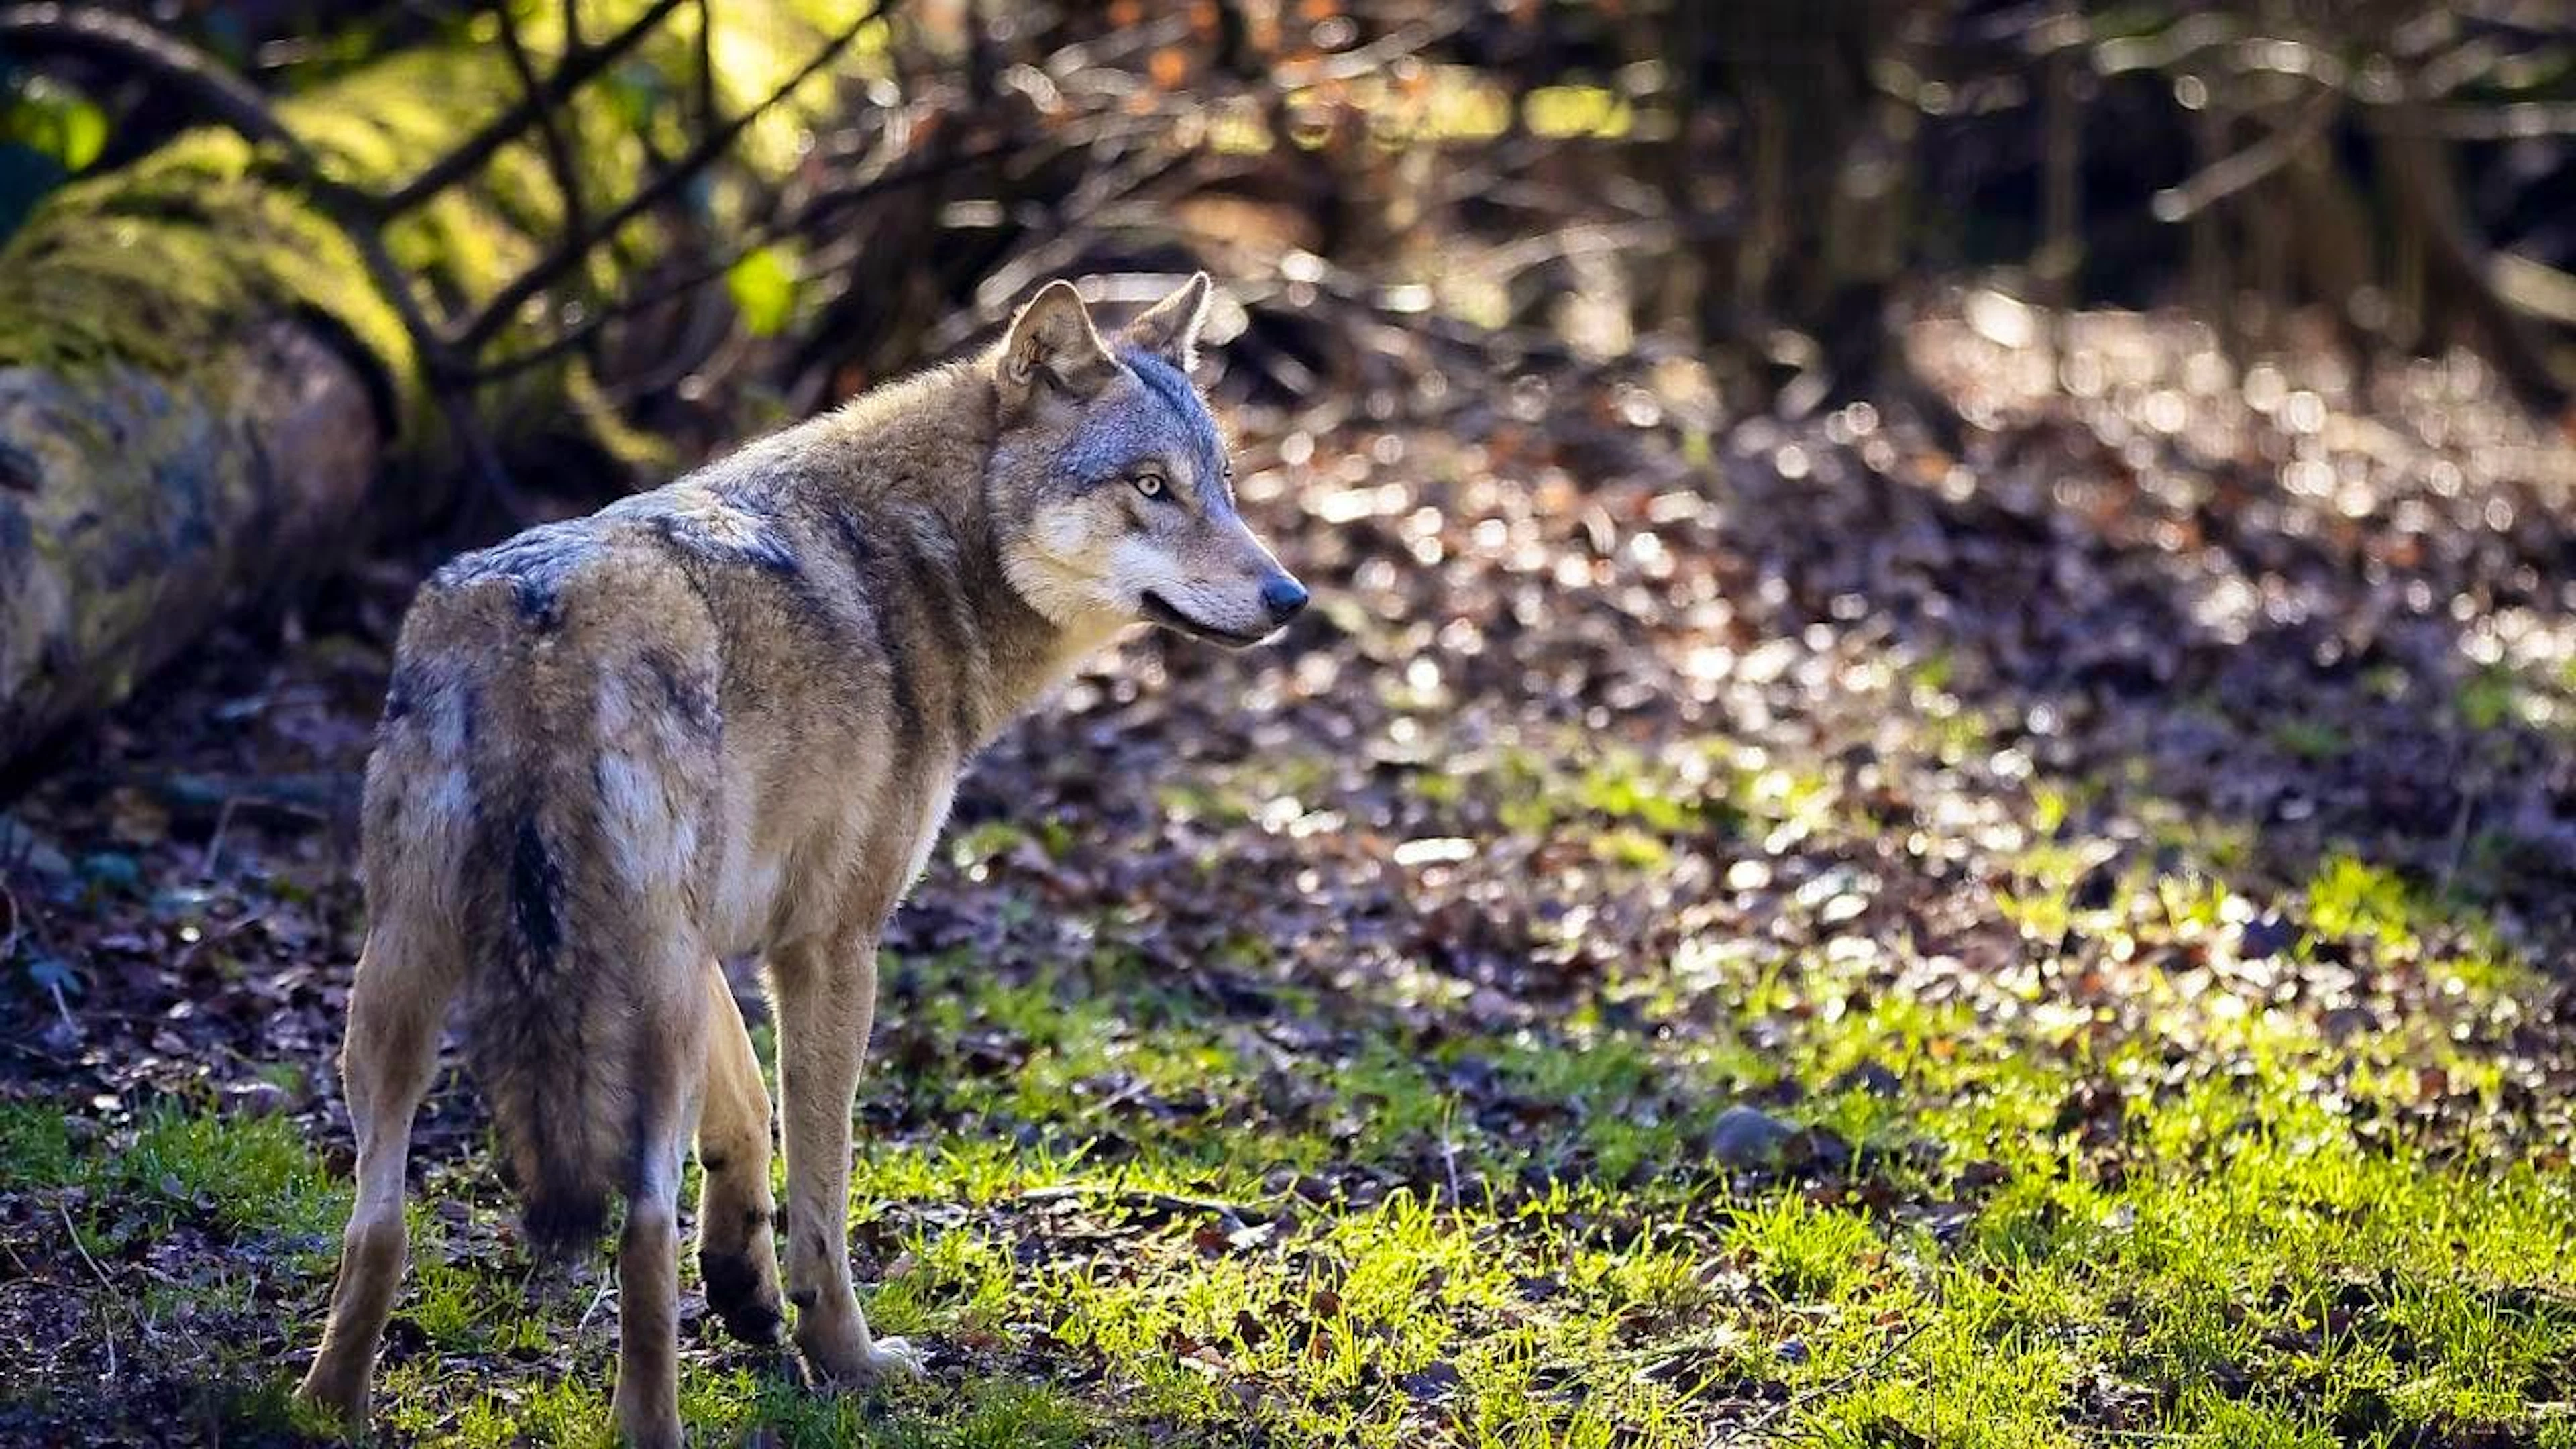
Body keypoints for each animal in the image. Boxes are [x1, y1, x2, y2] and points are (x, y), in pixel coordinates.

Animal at [293, 274, 1304, 1447]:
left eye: (1220, 485)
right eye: (1151, 487)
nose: (1291, 599)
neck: (918, 558)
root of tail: (543, 623)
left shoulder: (716, 942)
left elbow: (749, 1115)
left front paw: (743, 1281)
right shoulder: (833, 945)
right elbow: (824, 1189)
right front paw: (848, 1358)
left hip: (410, 980)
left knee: (378, 1222)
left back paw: (324, 1407)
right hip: (613, 1001)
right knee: (636, 1225)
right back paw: (654, 1427)